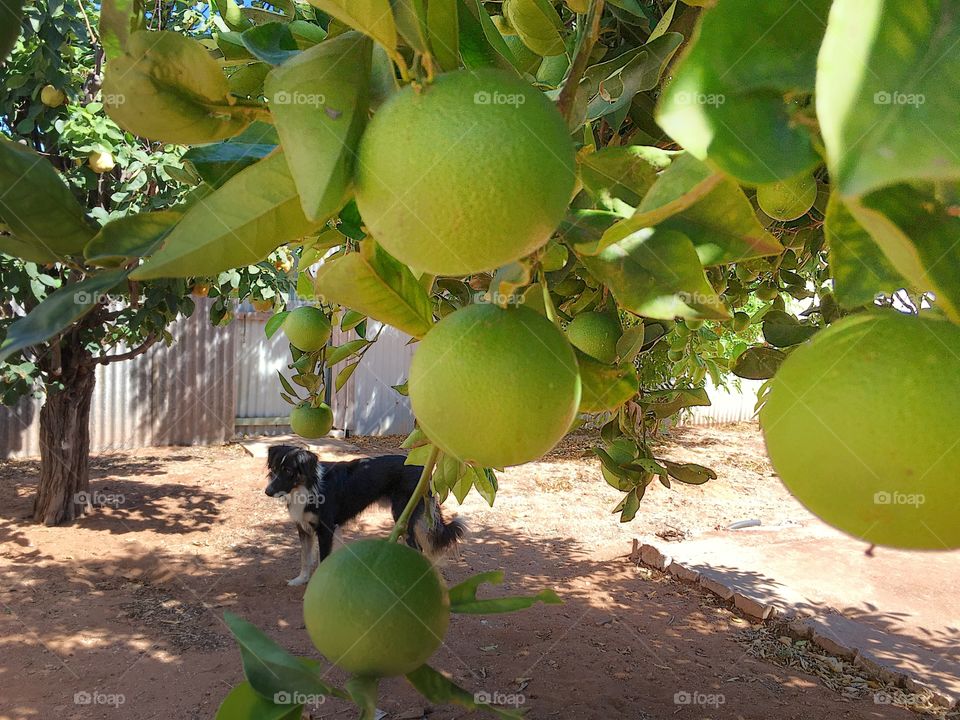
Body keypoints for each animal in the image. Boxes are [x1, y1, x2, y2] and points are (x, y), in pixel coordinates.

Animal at [264, 444, 464, 584]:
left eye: (288, 471)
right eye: (274, 470)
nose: (267, 491)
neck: (307, 487)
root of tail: (423, 470)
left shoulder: (326, 530)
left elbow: (322, 558)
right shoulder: (303, 528)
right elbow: (305, 558)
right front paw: (301, 579)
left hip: (404, 516)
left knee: (418, 548)